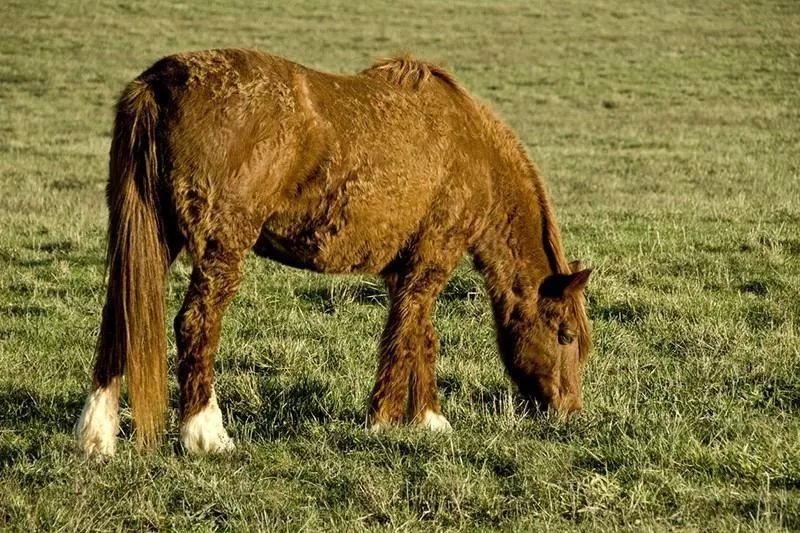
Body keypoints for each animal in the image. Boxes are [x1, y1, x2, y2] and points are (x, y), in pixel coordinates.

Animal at [75, 50, 592, 458]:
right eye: (565, 335)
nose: (568, 413)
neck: (472, 150)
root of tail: (157, 83)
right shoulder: (432, 260)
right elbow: (404, 336)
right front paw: (383, 420)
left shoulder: (404, 270)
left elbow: (419, 335)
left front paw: (428, 418)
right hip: (221, 247)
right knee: (196, 323)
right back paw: (205, 434)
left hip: (150, 238)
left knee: (120, 316)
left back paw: (97, 435)